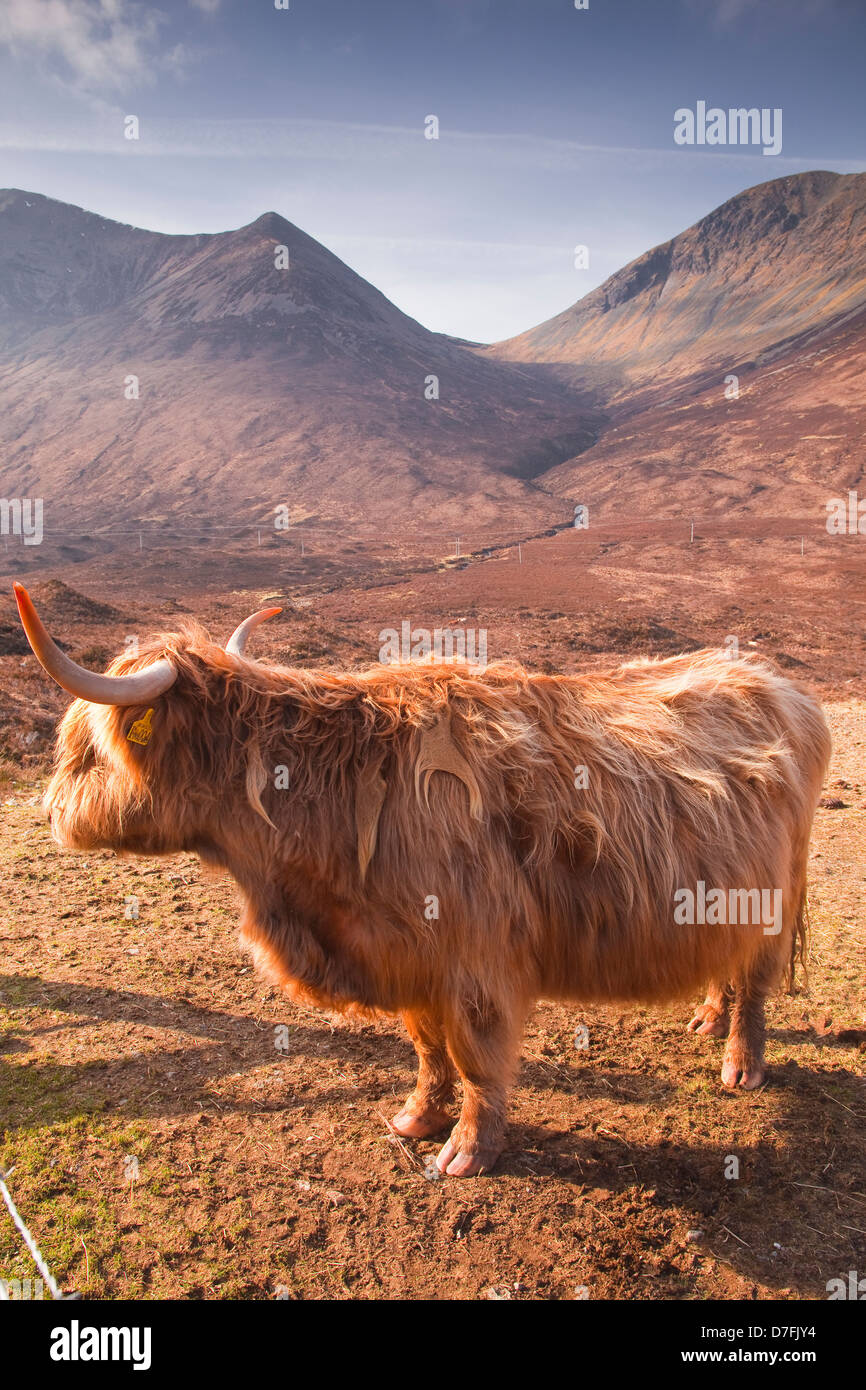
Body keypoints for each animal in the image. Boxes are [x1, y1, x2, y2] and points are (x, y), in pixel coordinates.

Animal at [13, 581, 831, 1176]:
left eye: (89, 750)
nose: (50, 811)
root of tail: (775, 681)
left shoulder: (474, 957)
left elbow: (474, 1054)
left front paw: (467, 1151)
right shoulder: (406, 954)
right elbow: (426, 1045)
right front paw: (416, 1116)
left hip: (774, 894)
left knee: (756, 985)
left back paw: (739, 1064)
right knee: (726, 966)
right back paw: (707, 1018)